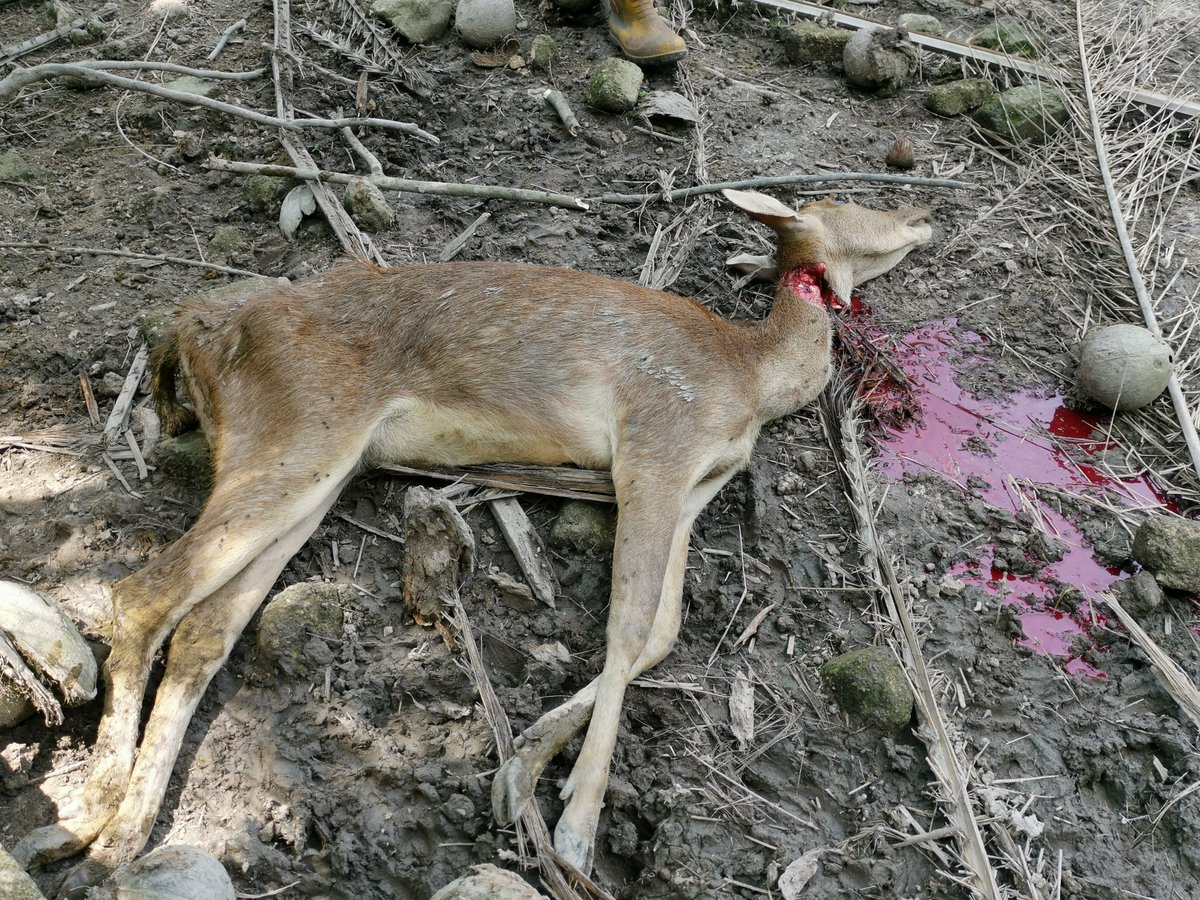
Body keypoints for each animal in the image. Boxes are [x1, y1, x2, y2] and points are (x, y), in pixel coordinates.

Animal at [13, 189, 931, 894]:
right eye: (856, 204)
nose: (923, 215)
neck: (750, 380)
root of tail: (197, 332)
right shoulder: (657, 443)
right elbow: (629, 622)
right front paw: (574, 831)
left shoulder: (700, 482)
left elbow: (662, 630)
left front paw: (521, 769)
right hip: (299, 436)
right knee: (141, 591)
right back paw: (91, 818)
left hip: (317, 468)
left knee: (205, 628)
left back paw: (124, 826)